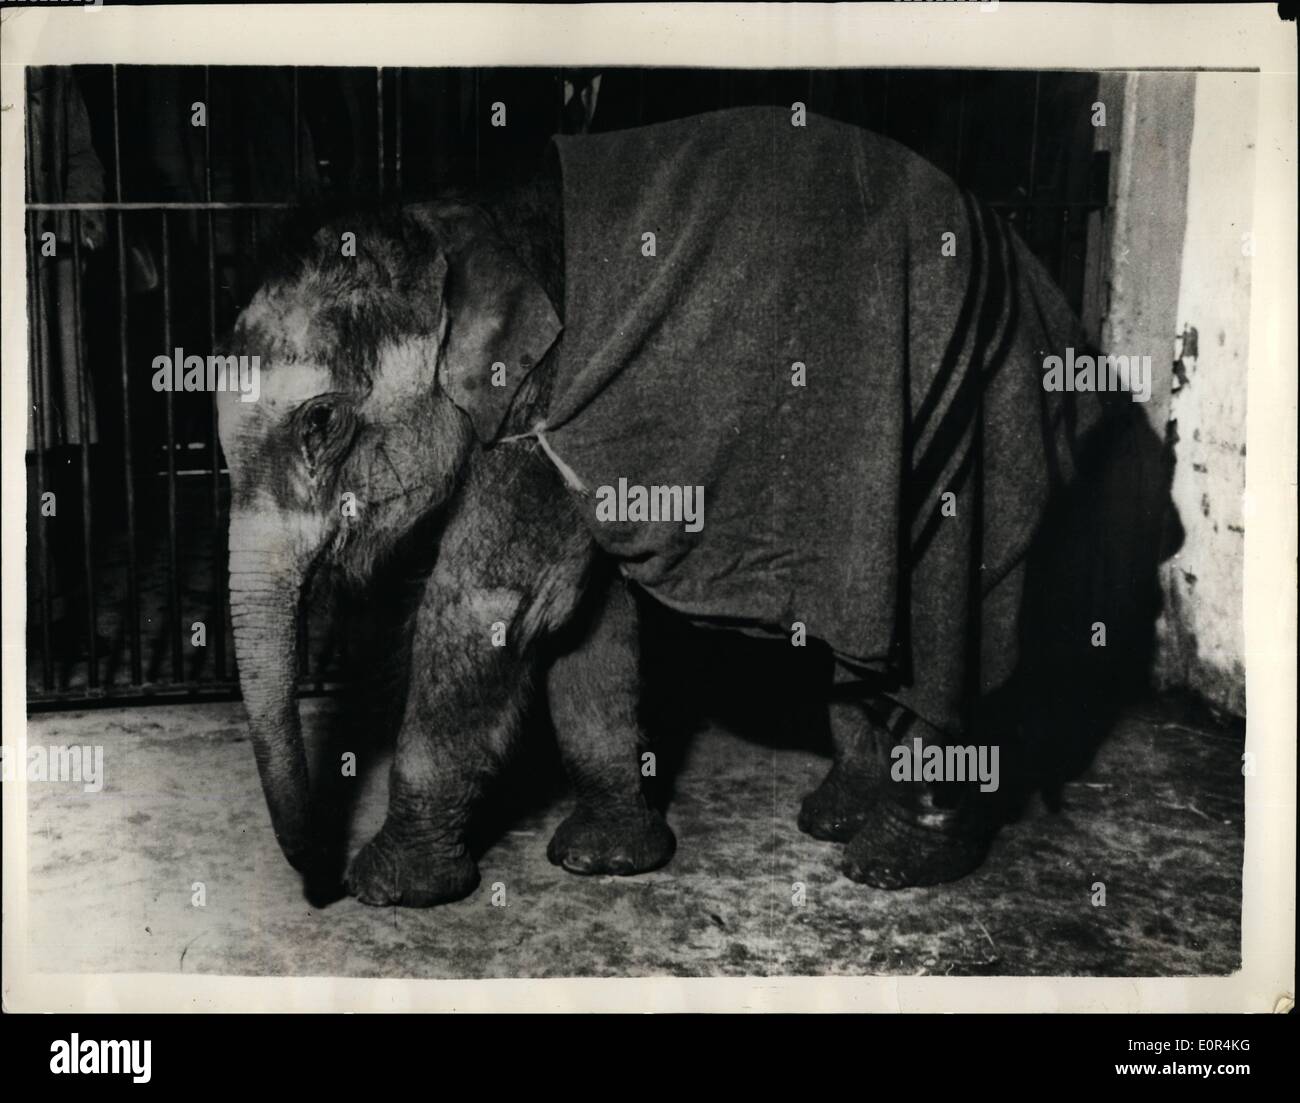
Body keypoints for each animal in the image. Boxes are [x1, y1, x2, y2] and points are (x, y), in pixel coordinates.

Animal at [218, 107, 1140, 906]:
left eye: (321, 422)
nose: (319, 890)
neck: (457, 219)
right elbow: (583, 619)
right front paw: (607, 859)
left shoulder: (547, 399)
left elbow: (487, 605)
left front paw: (392, 889)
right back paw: (837, 814)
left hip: (974, 431)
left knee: (956, 628)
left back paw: (895, 860)